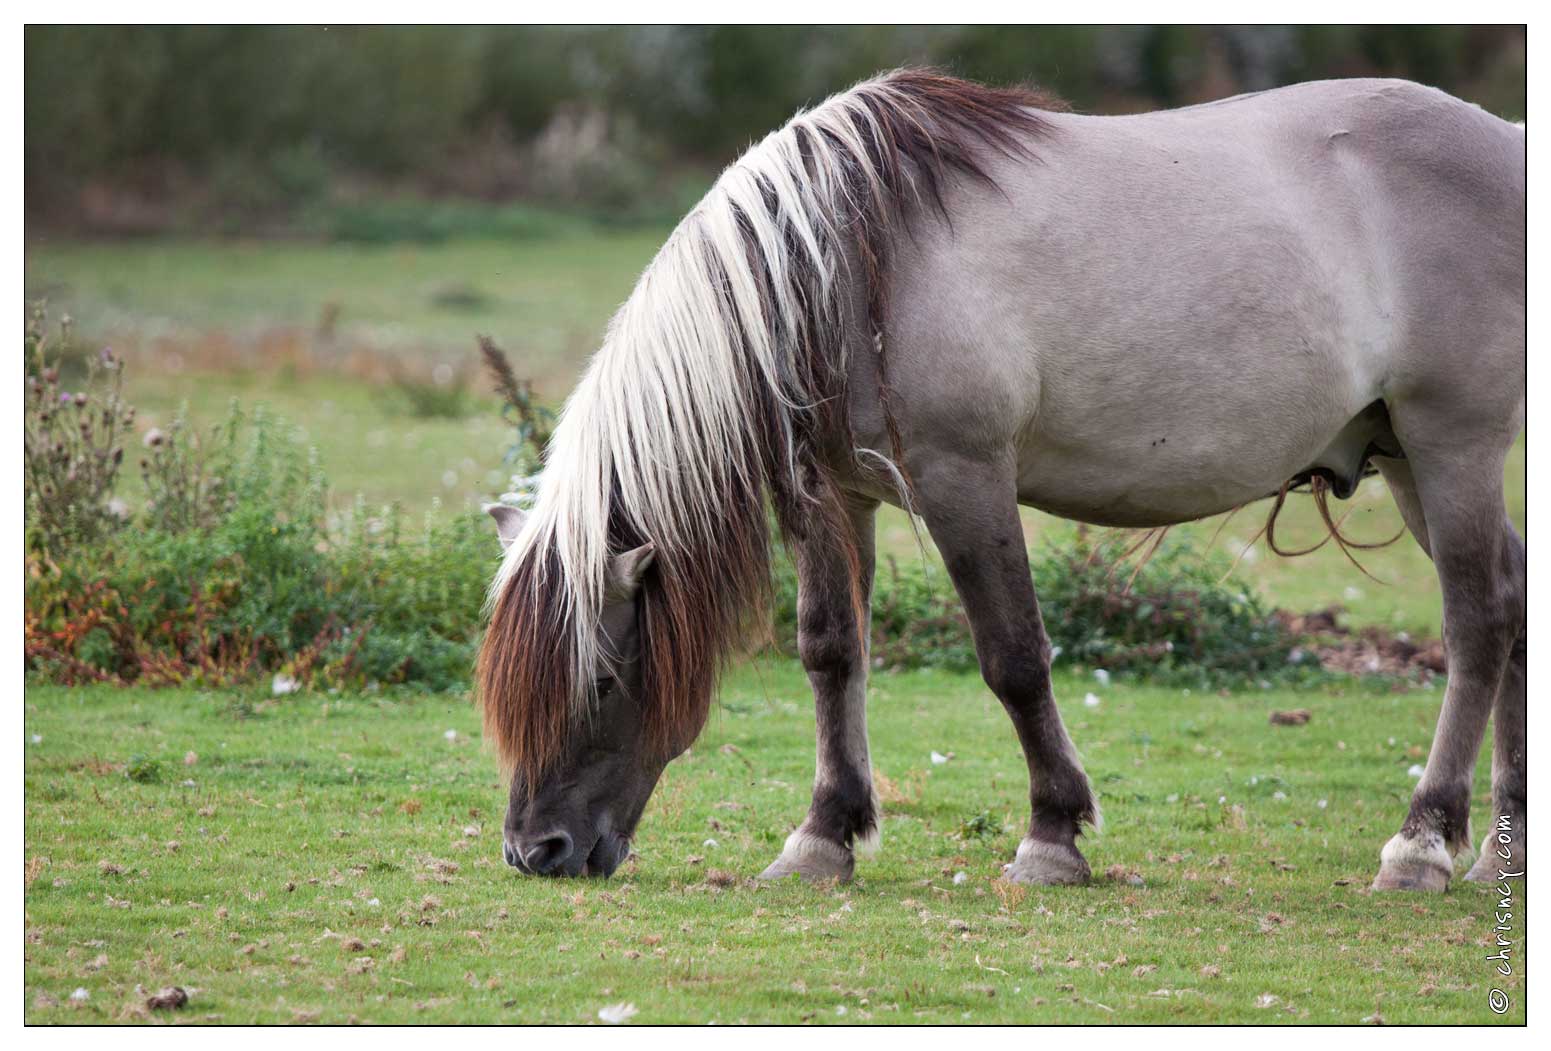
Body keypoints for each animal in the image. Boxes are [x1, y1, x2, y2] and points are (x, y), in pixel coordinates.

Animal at [480, 70, 1526, 892]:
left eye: (603, 674)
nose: (536, 850)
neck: (843, 261)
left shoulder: (963, 478)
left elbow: (1013, 656)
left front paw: (1051, 836)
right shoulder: (829, 495)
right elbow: (829, 651)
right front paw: (822, 837)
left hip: (1451, 444)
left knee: (1475, 621)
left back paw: (1422, 844)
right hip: (1407, 460)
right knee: (1511, 601)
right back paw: (1498, 851)